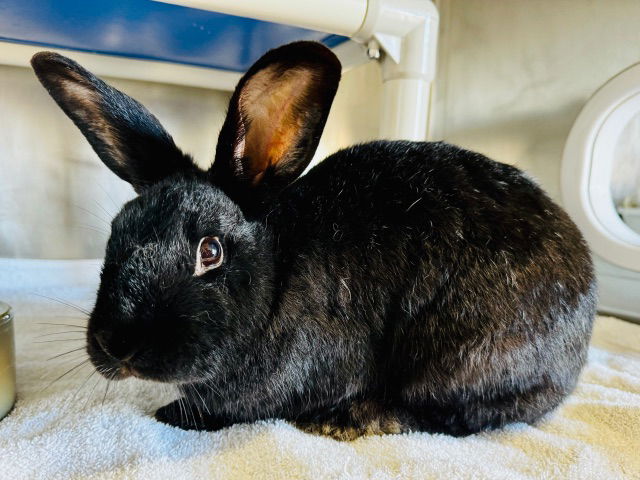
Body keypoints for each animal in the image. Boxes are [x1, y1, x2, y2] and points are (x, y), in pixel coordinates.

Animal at [33, 43, 596, 440]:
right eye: (116, 232)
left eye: (210, 251)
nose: (116, 345)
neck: (275, 272)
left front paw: (168, 414)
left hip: (463, 358)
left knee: (454, 415)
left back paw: (346, 420)